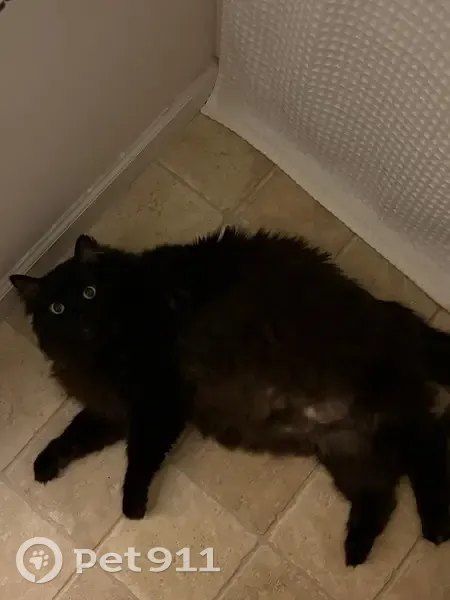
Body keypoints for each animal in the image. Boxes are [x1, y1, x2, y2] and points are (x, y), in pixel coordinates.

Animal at [10, 229, 450, 566]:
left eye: (89, 292)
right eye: (57, 307)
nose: (81, 320)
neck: (102, 346)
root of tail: (394, 315)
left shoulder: (157, 401)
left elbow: (139, 458)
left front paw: (133, 504)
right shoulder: (113, 409)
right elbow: (73, 435)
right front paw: (45, 465)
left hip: (384, 416)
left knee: (428, 449)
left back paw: (435, 526)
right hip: (347, 445)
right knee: (383, 494)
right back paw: (356, 549)